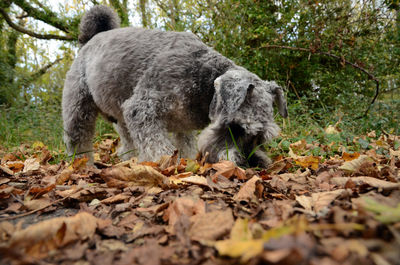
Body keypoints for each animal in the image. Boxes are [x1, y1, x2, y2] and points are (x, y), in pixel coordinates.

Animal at [62, 5, 288, 167]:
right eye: (237, 128)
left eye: (262, 138)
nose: (251, 164)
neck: (205, 81)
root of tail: (89, 40)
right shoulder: (142, 110)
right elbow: (159, 149)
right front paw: (169, 167)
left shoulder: (183, 126)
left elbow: (184, 147)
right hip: (78, 110)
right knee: (78, 141)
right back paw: (82, 166)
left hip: (120, 116)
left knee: (127, 143)